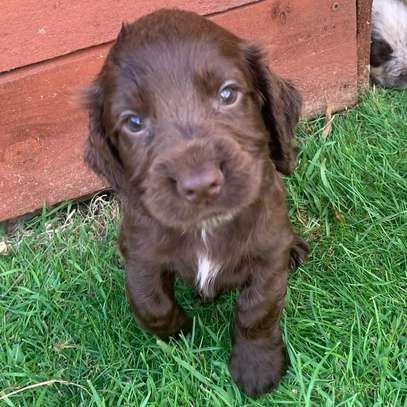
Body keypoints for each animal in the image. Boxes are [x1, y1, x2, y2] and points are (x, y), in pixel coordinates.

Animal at [83, 8, 308, 398]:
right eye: (133, 122)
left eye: (228, 94)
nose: (200, 185)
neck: (206, 228)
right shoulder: (140, 252)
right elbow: (150, 304)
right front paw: (180, 331)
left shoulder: (267, 254)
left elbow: (257, 309)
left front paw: (257, 367)